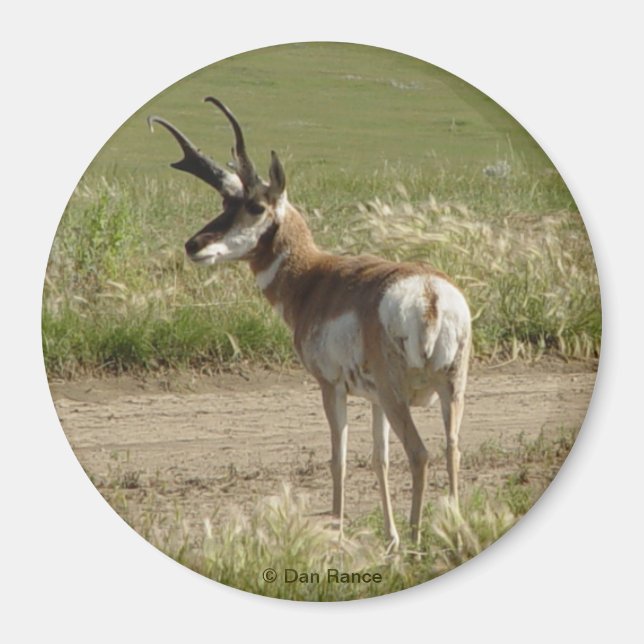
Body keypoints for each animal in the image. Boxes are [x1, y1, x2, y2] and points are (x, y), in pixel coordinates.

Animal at [148, 98, 471, 551]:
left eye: (254, 206)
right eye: (226, 203)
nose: (193, 245)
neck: (315, 276)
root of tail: (428, 293)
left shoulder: (330, 386)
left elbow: (339, 458)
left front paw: (337, 531)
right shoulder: (373, 400)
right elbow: (379, 459)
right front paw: (387, 538)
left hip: (400, 396)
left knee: (420, 453)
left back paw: (416, 538)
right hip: (449, 389)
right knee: (451, 448)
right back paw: (451, 531)